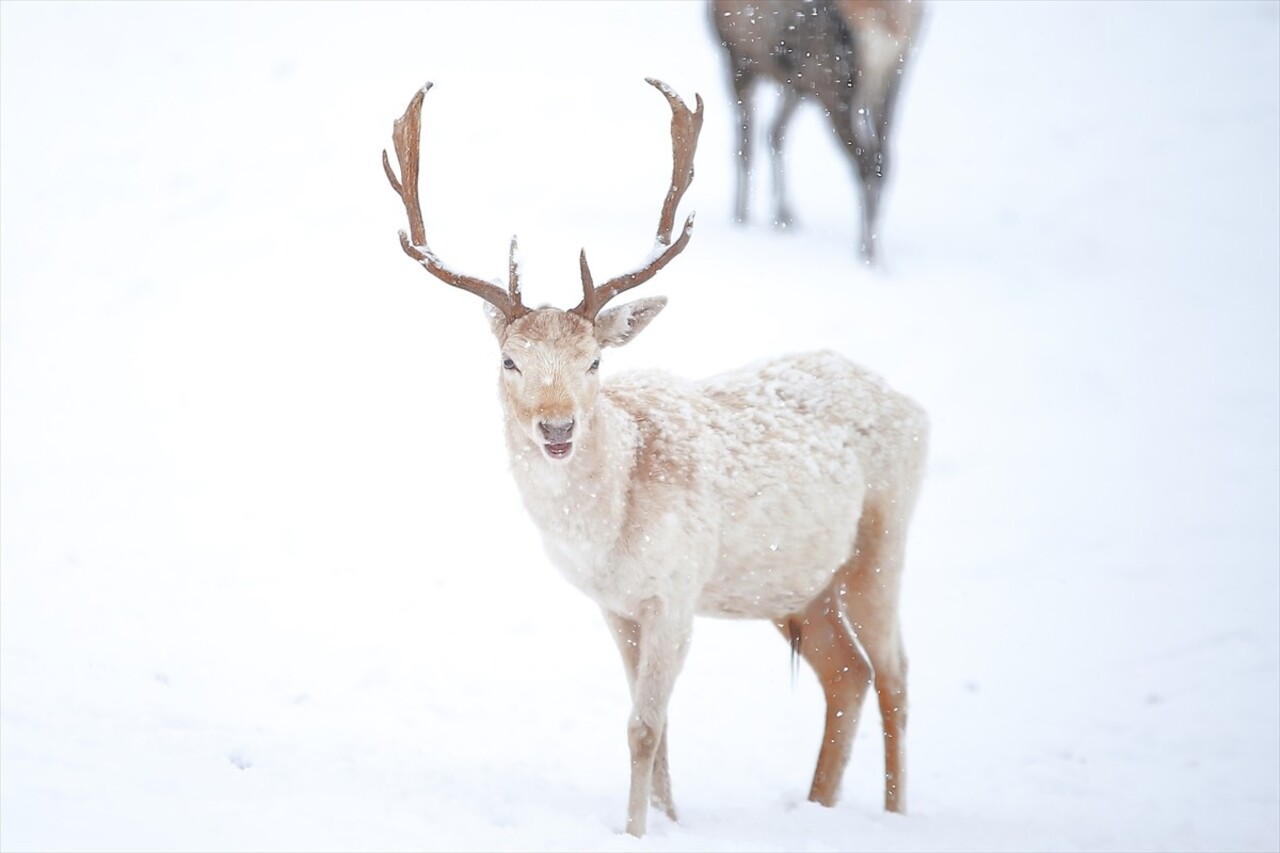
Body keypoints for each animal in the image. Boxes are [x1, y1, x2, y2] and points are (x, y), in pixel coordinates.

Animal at [378, 76, 931, 835]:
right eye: (510, 359)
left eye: (595, 359)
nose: (557, 426)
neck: (607, 531)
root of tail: (912, 406)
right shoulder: (617, 606)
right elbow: (660, 726)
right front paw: (668, 819)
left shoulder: (675, 591)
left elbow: (643, 725)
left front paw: (636, 828)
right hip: (799, 582)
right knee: (847, 674)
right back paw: (819, 804)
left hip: (882, 539)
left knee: (897, 674)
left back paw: (896, 813)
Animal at [706, 0, 926, 262]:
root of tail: (889, 20)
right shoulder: (796, 82)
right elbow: (775, 133)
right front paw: (783, 216)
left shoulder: (738, 58)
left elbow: (746, 149)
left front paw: (741, 219)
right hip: (891, 79)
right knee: (884, 160)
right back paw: (875, 252)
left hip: (834, 79)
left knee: (865, 161)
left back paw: (866, 252)